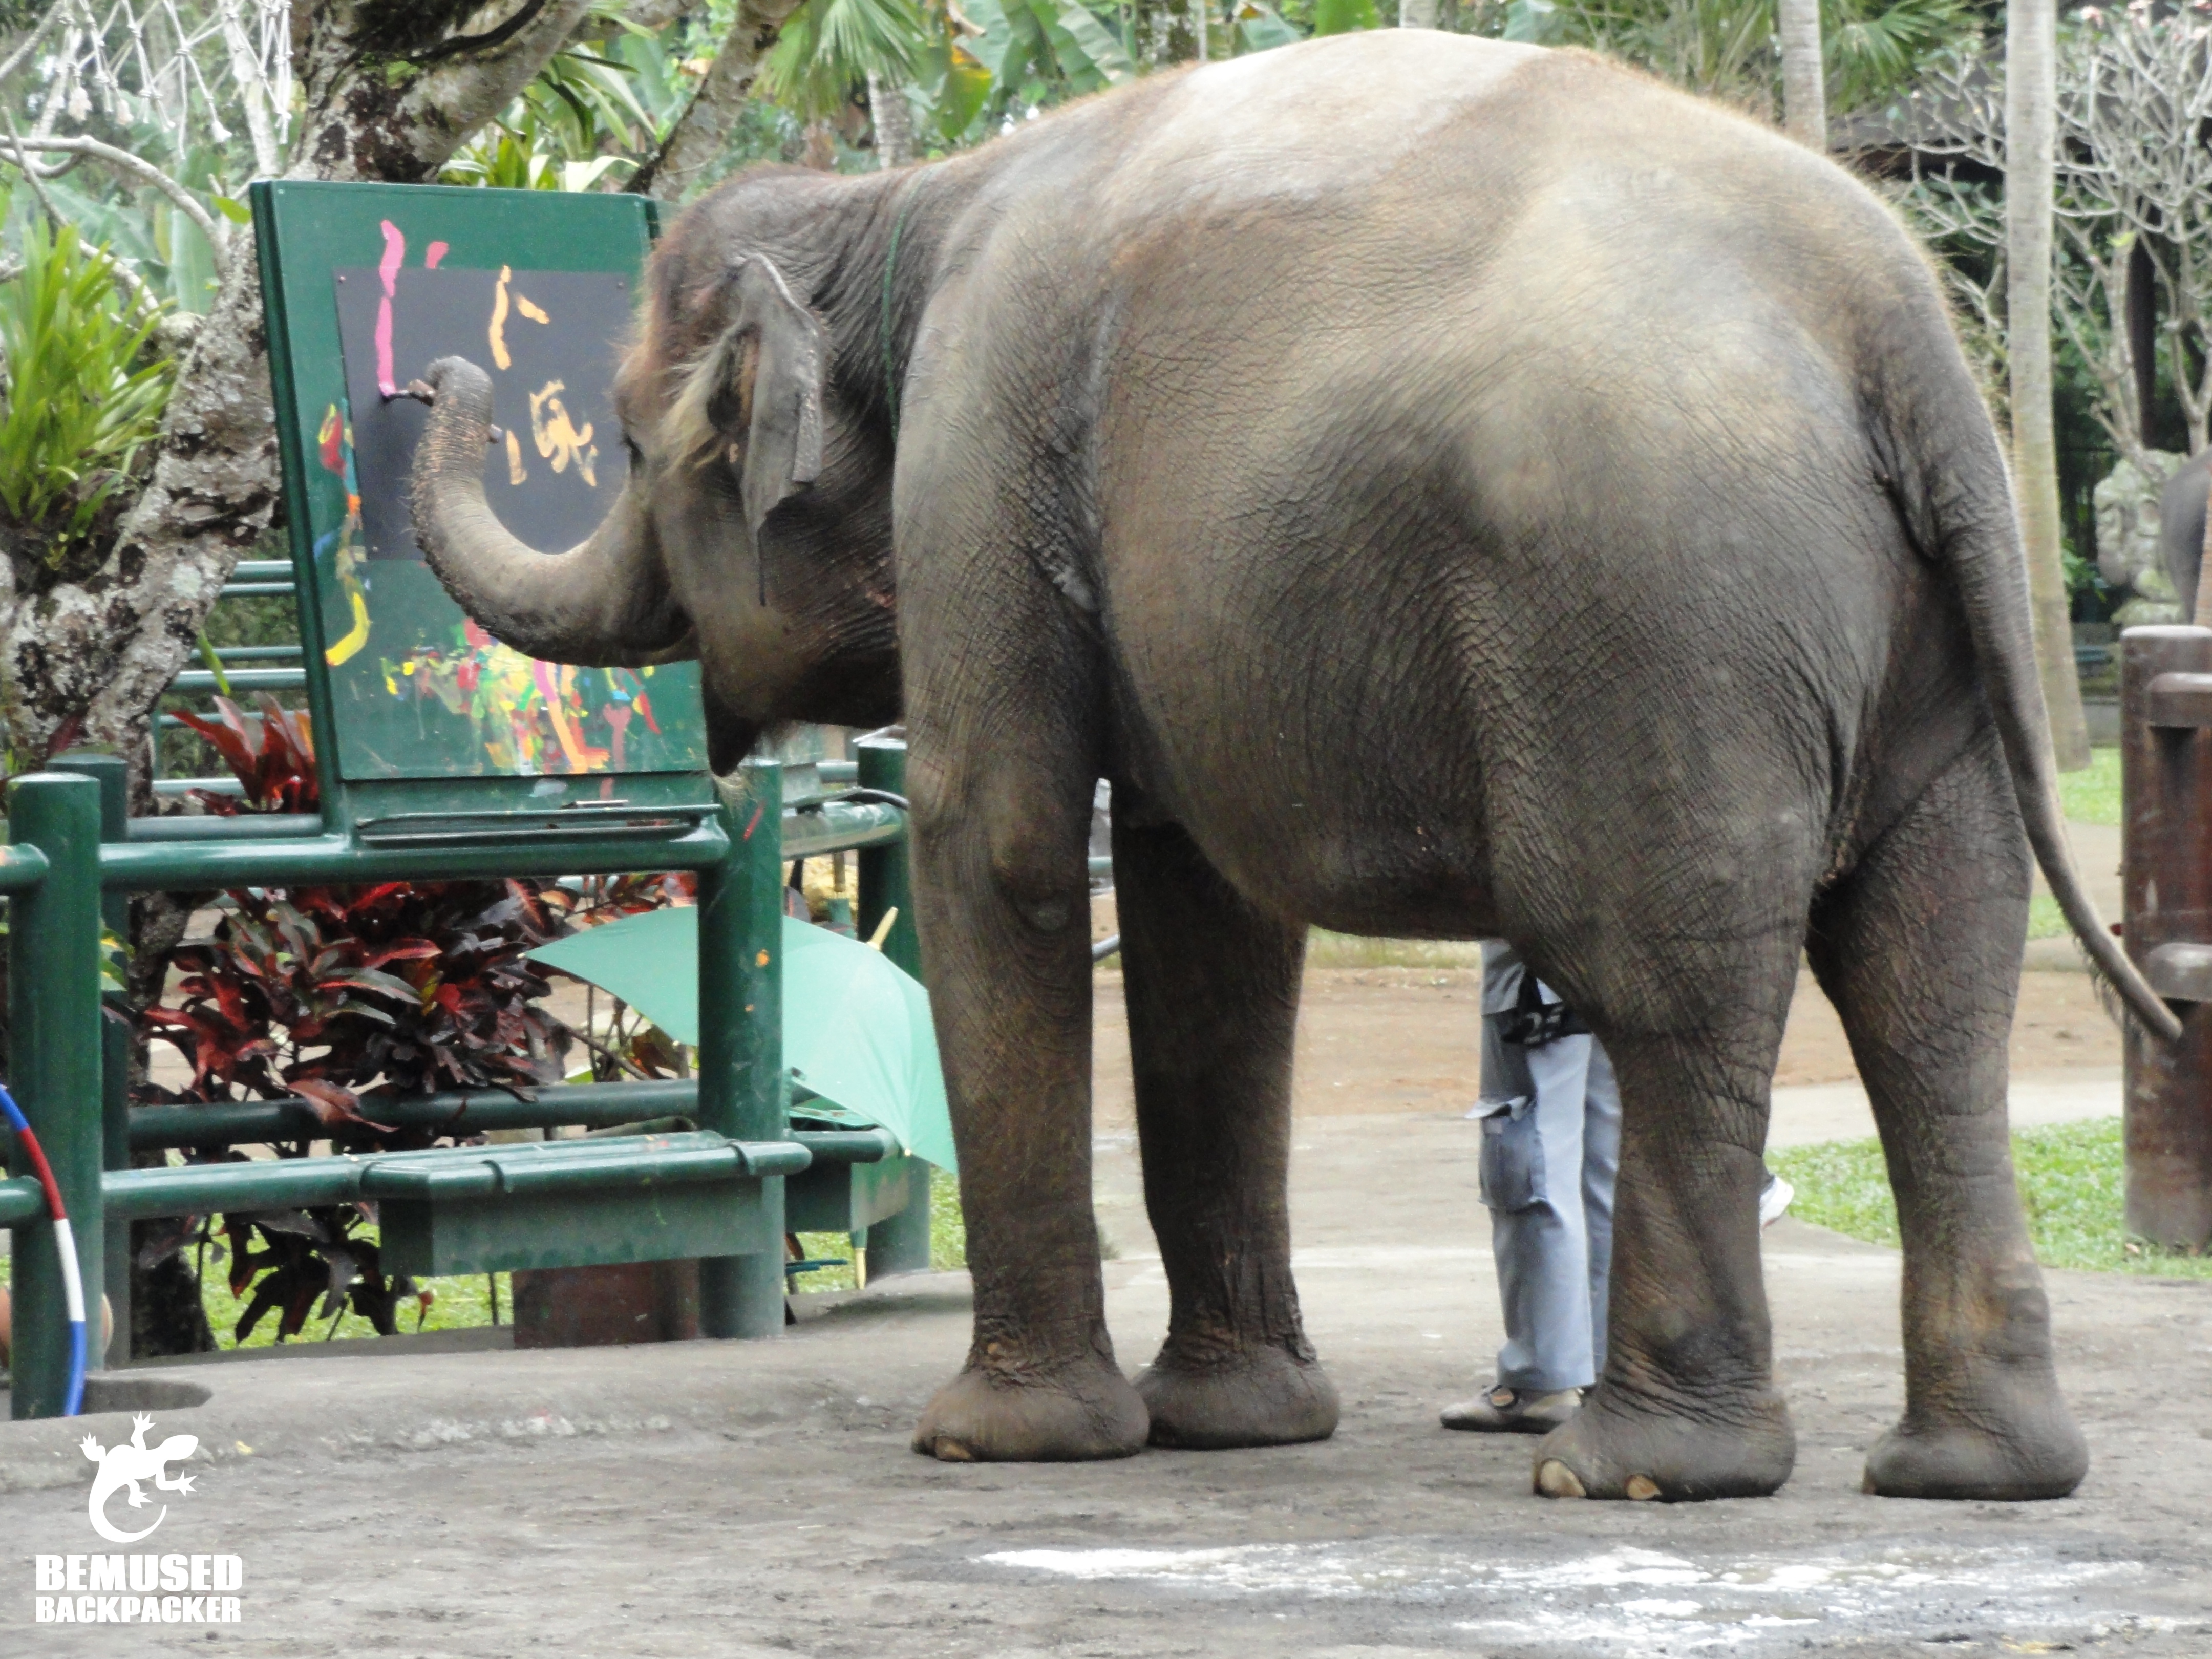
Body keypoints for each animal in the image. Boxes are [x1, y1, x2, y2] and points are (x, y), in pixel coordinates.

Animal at [410, 31, 2180, 1503]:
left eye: (630, 444)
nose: (438, 373)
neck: (903, 204)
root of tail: (1897, 326)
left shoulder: (979, 452)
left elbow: (1009, 847)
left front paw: (996, 1443)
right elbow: (1206, 912)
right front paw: (1238, 1426)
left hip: (1656, 615)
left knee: (1676, 985)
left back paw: (1637, 1474)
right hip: (1933, 649)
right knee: (1934, 979)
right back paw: (1974, 1473)